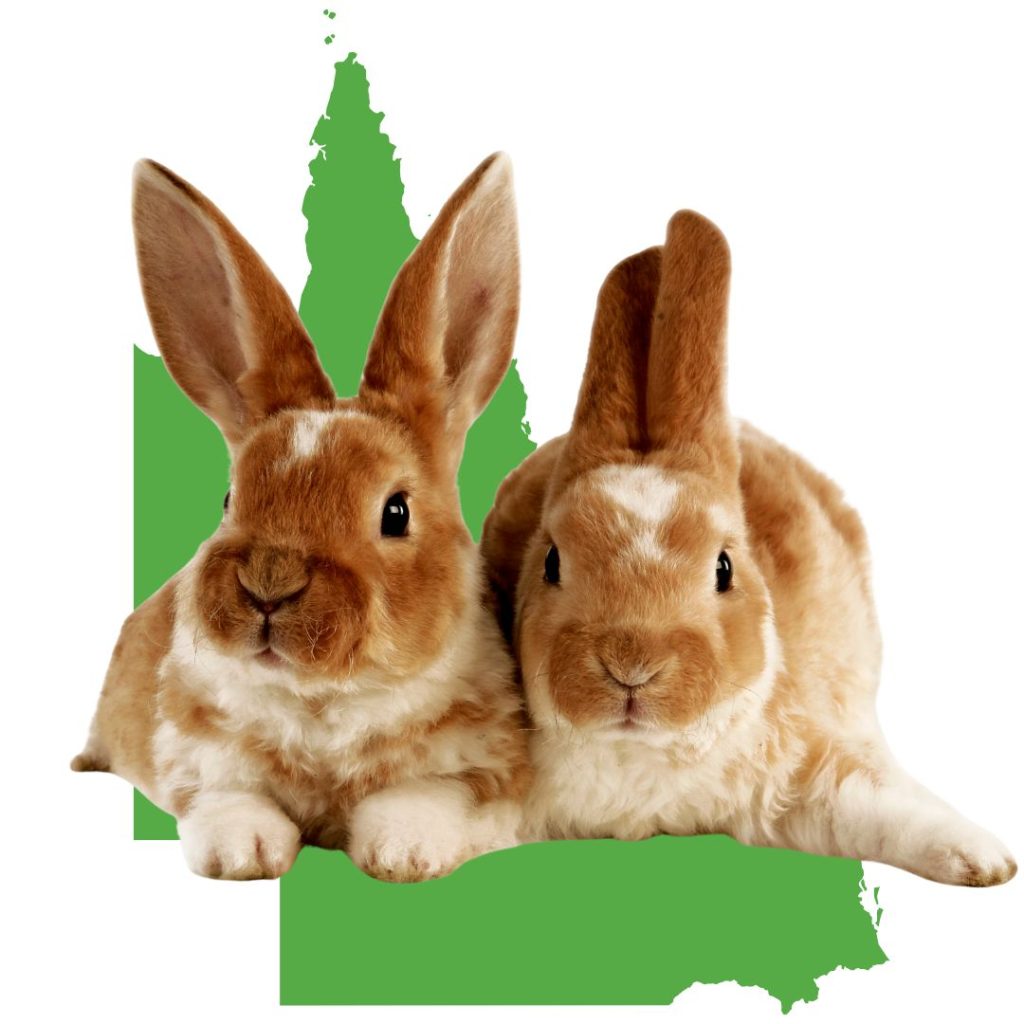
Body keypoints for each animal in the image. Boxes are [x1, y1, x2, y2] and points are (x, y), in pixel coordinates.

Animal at [71, 153, 531, 882]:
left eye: (395, 512)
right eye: (229, 499)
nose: (269, 581)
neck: (323, 699)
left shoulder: (486, 770)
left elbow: (424, 799)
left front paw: (401, 853)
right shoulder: (199, 760)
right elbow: (229, 802)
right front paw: (245, 855)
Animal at [481, 210, 1016, 886]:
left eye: (724, 567)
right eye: (550, 562)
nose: (632, 665)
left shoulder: (808, 775)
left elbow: (881, 804)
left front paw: (985, 859)